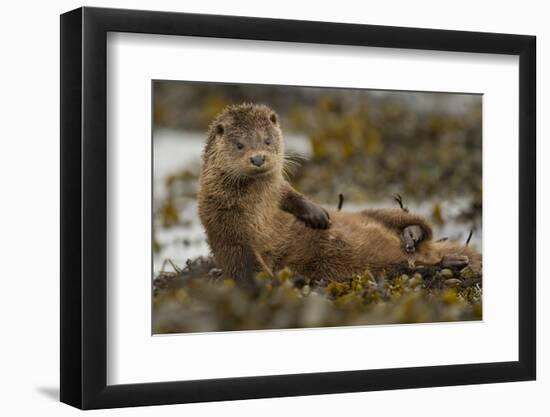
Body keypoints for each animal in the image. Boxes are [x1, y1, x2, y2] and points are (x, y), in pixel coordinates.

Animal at [199, 102, 484, 288]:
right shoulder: (224, 225)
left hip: (381, 211)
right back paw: (448, 263)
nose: (258, 158)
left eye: (267, 140)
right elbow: (244, 265)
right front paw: (275, 283)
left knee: (418, 226)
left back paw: (411, 236)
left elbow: (291, 194)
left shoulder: (278, 191)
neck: (259, 208)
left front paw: (318, 216)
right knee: (407, 267)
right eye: (240, 145)